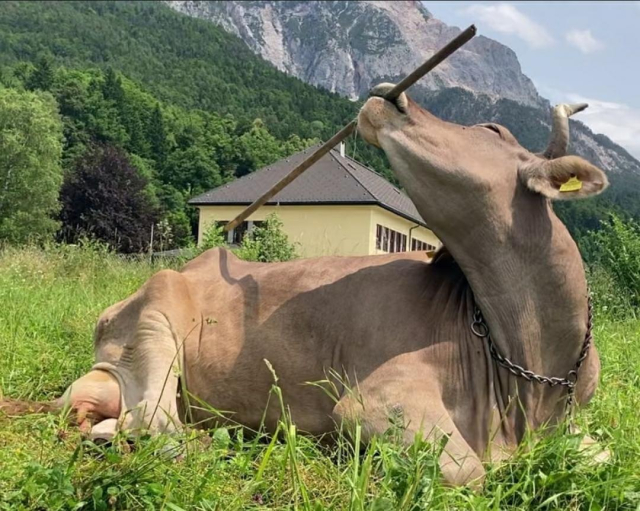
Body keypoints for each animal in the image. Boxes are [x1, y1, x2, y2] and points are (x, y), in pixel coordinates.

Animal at [0, 84, 608, 487]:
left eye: (491, 130)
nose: (388, 95)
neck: (530, 370)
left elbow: (602, 457)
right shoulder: (375, 401)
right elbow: (470, 472)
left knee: (122, 421)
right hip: (155, 318)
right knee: (155, 424)